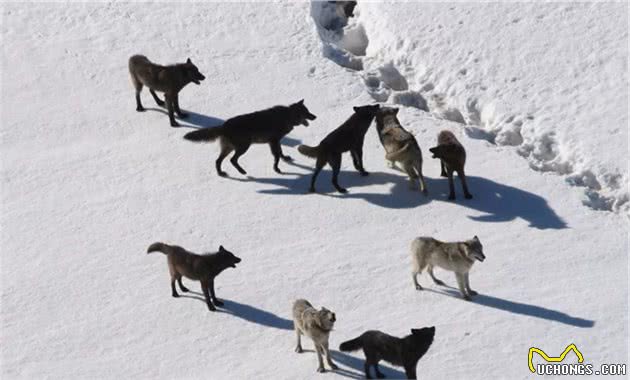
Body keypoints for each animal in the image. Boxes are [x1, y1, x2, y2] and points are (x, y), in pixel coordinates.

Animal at [185, 100, 318, 176]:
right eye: (307, 112)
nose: (315, 117)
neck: (287, 116)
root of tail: (223, 126)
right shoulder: (274, 141)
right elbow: (276, 156)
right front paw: (276, 169)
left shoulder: (275, 142)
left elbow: (280, 153)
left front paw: (285, 159)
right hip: (244, 147)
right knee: (232, 160)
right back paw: (242, 171)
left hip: (229, 148)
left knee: (218, 161)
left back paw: (221, 173)